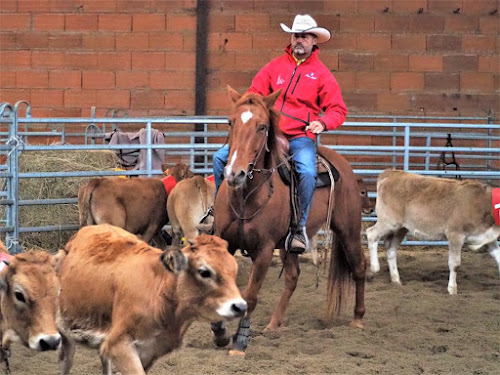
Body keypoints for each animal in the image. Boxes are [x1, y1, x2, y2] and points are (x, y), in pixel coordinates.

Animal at [212, 86, 368, 356]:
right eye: (230, 122)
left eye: (262, 126)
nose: (234, 174)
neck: (246, 196)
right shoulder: (226, 243)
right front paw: (220, 333)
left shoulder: (264, 251)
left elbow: (250, 296)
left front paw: (239, 343)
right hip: (289, 245)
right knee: (293, 277)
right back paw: (274, 324)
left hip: (348, 228)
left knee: (359, 266)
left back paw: (358, 319)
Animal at [366, 169, 498, 296]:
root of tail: (391, 173)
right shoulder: (455, 234)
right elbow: (455, 264)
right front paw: (452, 289)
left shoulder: (489, 237)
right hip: (389, 222)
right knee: (371, 234)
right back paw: (374, 268)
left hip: (401, 228)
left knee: (391, 248)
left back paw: (396, 280)